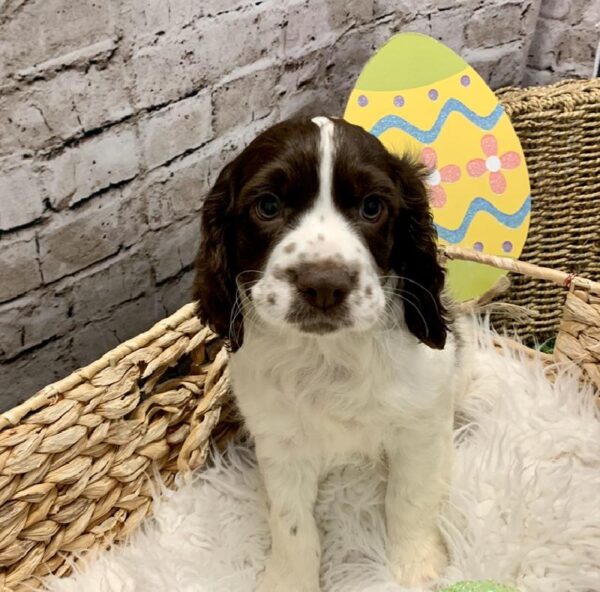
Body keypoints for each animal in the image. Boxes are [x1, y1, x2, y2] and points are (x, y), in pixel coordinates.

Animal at [195, 115, 472, 592]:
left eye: (372, 207)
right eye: (268, 206)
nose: (324, 285)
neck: (328, 355)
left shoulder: (418, 425)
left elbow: (410, 497)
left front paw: (416, 565)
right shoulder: (279, 443)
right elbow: (290, 523)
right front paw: (289, 581)